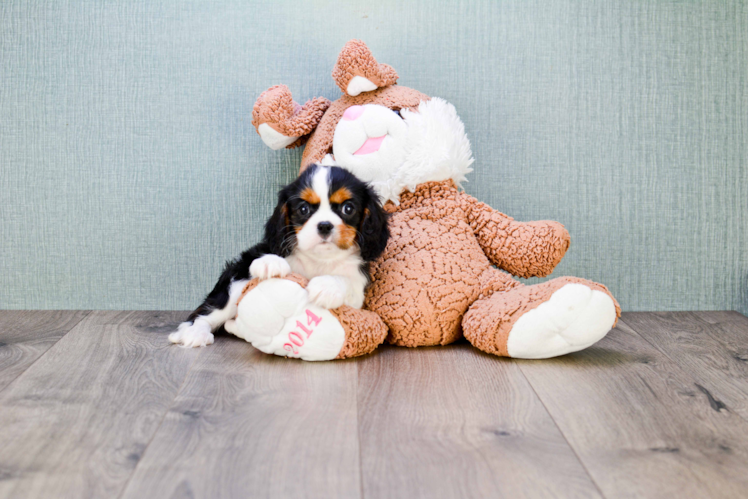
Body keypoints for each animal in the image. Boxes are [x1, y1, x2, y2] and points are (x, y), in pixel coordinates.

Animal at [170, 164, 392, 348]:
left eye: (348, 208)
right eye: (303, 209)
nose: (324, 225)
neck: (319, 260)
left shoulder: (356, 295)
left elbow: (345, 282)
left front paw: (327, 285)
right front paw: (270, 262)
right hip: (236, 281)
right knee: (208, 312)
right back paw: (194, 333)